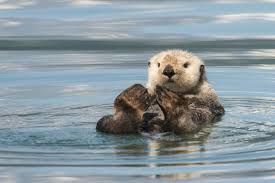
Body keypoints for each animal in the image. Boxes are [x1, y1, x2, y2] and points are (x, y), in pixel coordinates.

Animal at [96, 50, 225, 134]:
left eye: (185, 65)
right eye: (158, 64)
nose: (168, 71)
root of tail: (155, 128)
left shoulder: (210, 99)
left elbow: (200, 101)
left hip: (190, 125)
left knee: (184, 127)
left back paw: (170, 101)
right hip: (107, 123)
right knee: (110, 126)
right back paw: (131, 98)